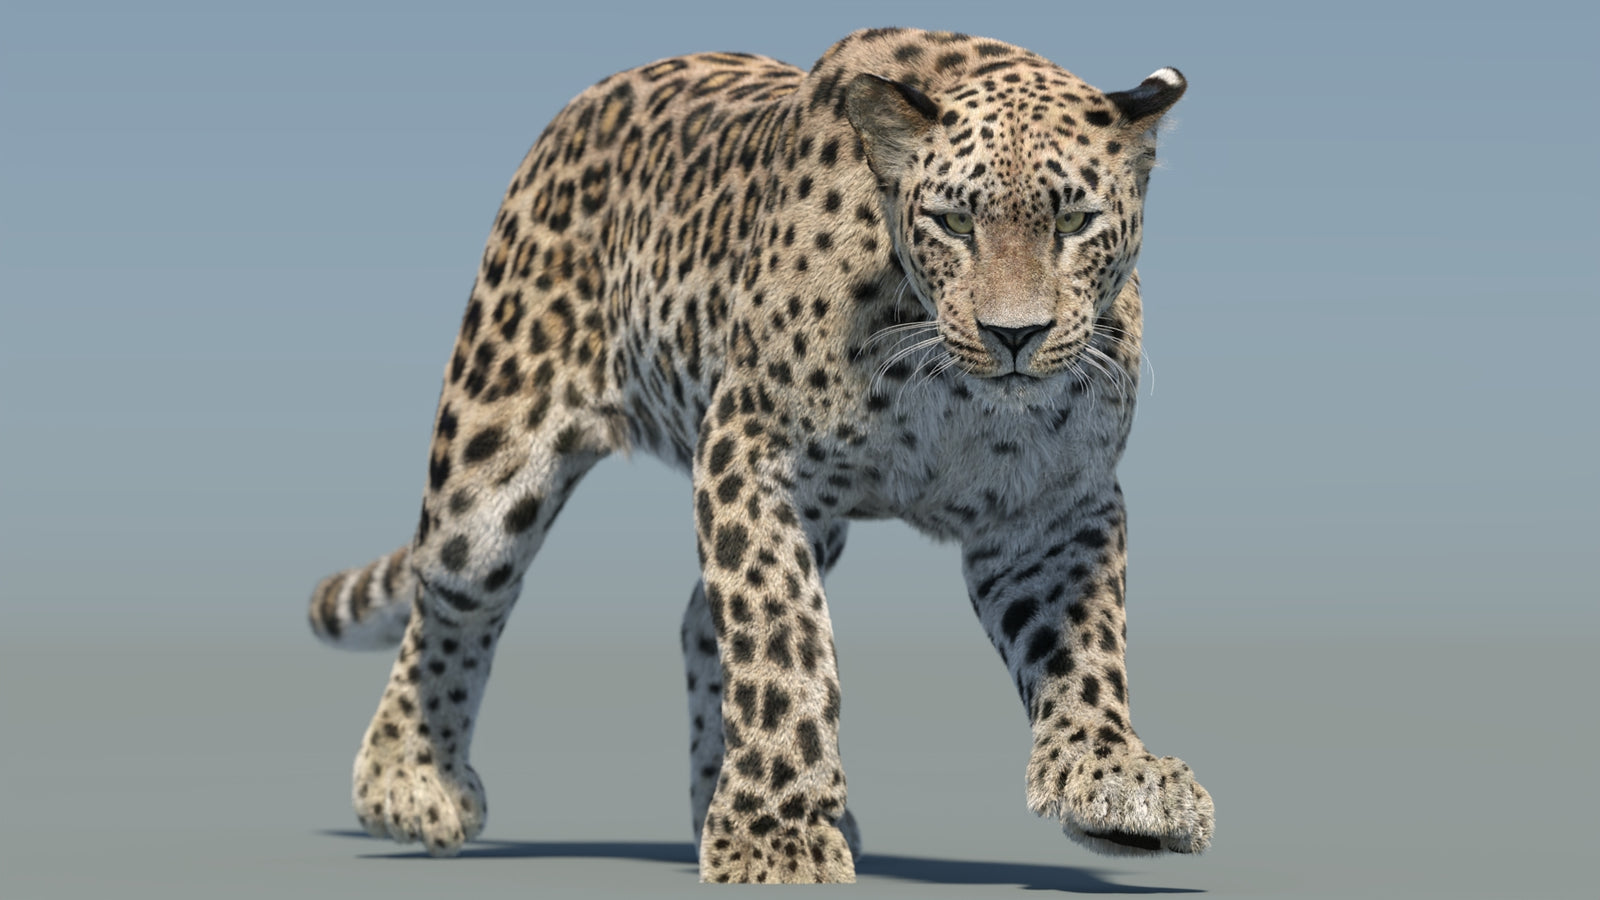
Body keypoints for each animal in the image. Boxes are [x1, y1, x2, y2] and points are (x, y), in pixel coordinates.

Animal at [307, 27, 1210, 884]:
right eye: (956, 223)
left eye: (1074, 223)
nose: (1013, 335)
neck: (946, 383)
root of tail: (585, 101)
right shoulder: (751, 448)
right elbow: (779, 635)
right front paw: (775, 835)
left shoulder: (1052, 503)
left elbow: (1082, 644)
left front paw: (1111, 777)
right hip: (492, 457)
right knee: (454, 594)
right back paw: (408, 780)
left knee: (691, 621)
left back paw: (715, 792)